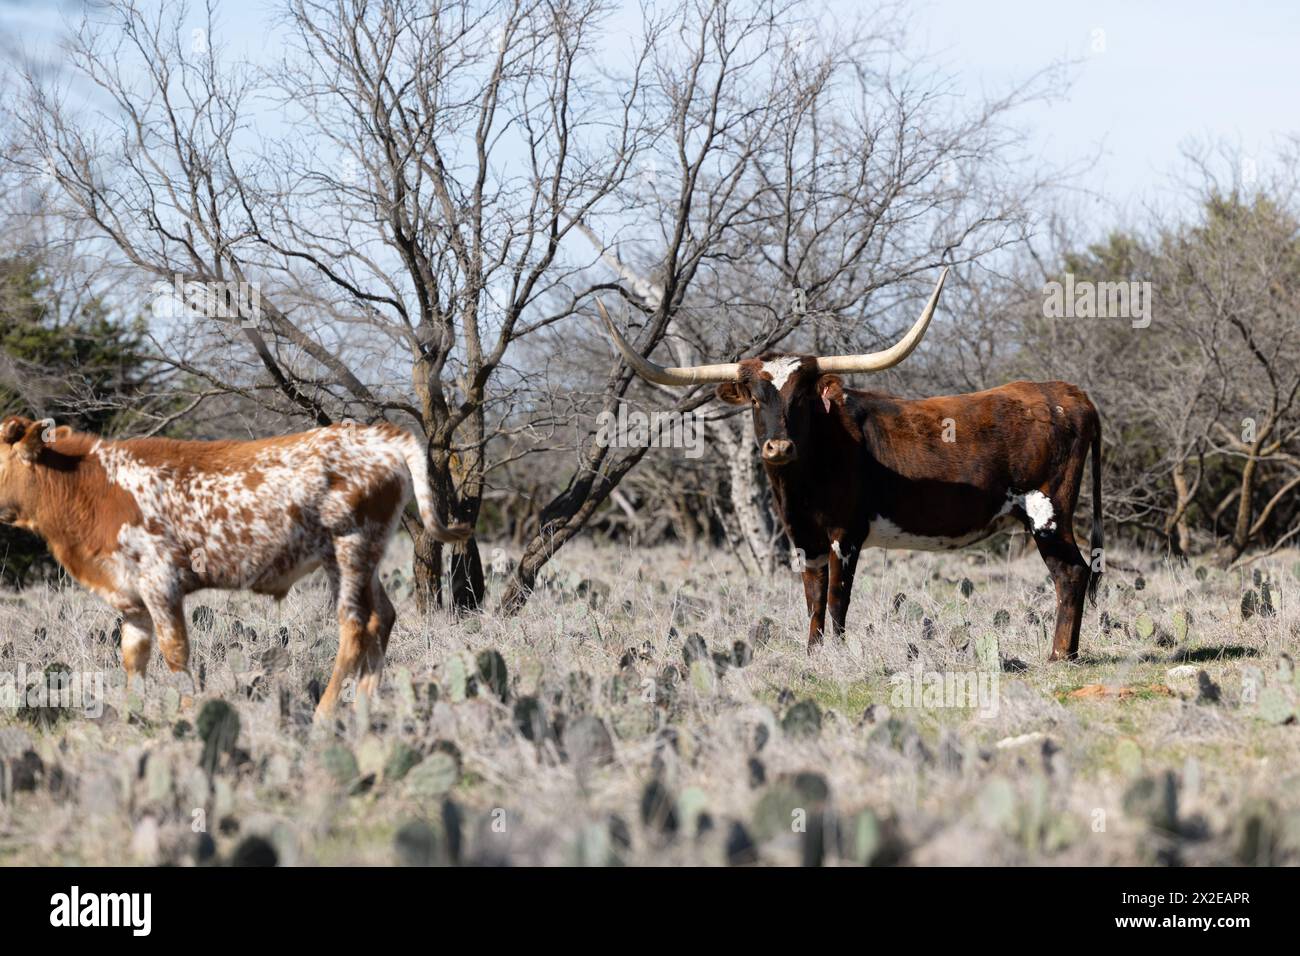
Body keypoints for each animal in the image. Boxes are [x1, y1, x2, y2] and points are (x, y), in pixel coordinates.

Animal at [0, 416, 467, 723]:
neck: (91, 486)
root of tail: (381, 436)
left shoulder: (161, 583)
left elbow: (175, 653)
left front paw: (187, 715)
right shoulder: (130, 596)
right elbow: (134, 658)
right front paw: (131, 718)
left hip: (349, 549)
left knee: (356, 625)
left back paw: (325, 713)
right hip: (365, 557)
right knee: (383, 617)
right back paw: (365, 707)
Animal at [595, 267, 1102, 658]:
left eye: (801, 398)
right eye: (756, 399)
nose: (778, 448)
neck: (806, 478)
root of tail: (1068, 392)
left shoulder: (846, 536)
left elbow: (838, 601)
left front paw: (836, 653)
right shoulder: (805, 541)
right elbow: (814, 602)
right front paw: (813, 653)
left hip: (1047, 511)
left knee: (1072, 574)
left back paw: (1059, 655)